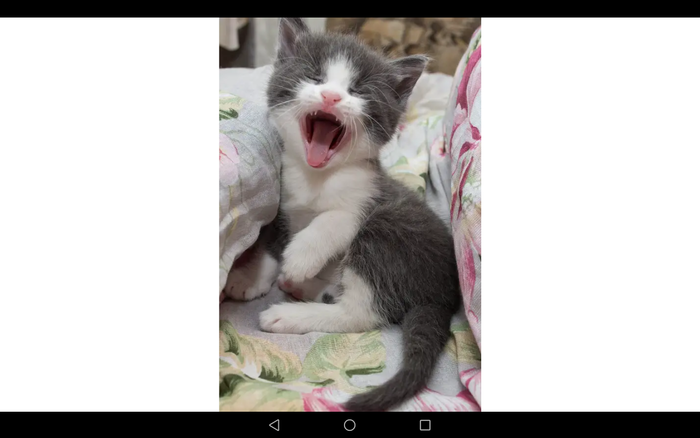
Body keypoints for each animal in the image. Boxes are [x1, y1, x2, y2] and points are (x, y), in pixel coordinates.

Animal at [223, 18, 462, 412]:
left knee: (359, 313)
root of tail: (444, 294)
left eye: (357, 90)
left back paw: (290, 311)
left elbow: (334, 219)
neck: (316, 178)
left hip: (388, 231)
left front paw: (301, 257)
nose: (331, 98)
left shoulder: (368, 196)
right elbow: (273, 240)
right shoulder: (282, 201)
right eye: (315, 77)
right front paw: (252, 275)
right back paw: (303, 287)